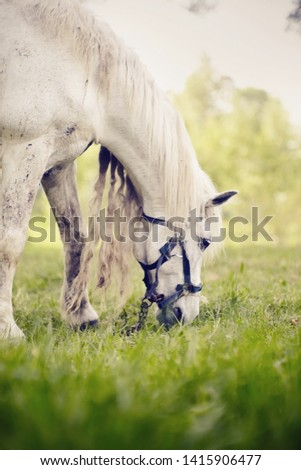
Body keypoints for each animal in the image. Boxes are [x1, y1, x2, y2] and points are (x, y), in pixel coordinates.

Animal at [0, 0, 236, 338]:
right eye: (204, 242)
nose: (187, 316)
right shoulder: (25, 150)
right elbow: (9, 242)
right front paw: (8, 329)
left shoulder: (57, 165)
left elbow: (75, 237)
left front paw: (80, 315)